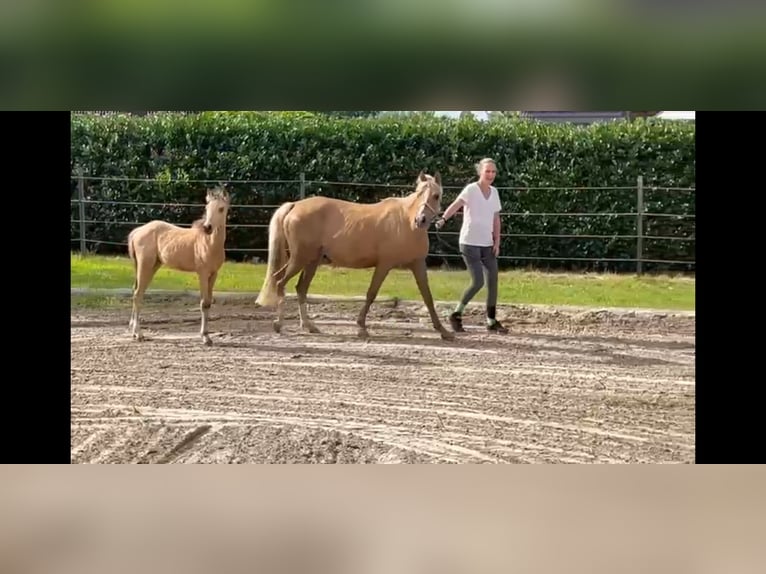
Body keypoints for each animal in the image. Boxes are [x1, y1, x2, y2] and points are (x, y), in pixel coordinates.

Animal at [124, 187, 228, 344]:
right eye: (207, 208)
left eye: (221, 208)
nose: (207, 227)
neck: (208, 243)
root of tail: (137, 231)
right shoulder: (202, 273)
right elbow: (203, 303)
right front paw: (205, 337)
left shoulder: (214, 274)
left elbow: (209, 302)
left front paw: (207, 335)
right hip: (145, 266)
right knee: (137, 295)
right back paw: (139, 334)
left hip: (152, 266)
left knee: (136, 291)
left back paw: (133, 331)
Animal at [256, 172, 456, 342]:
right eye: (419, 193)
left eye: (436, 195)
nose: (420, 220)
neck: (406, 222)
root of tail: (295, 205)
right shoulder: (384, 265)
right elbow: (371, 294)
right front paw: (361, 328)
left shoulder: (418, 265)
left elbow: (428, 297)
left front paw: (444, 332)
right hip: (300, 259)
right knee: (280, 282)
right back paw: (279, 324)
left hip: (310, 262)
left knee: (300, 289)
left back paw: (309, 326)